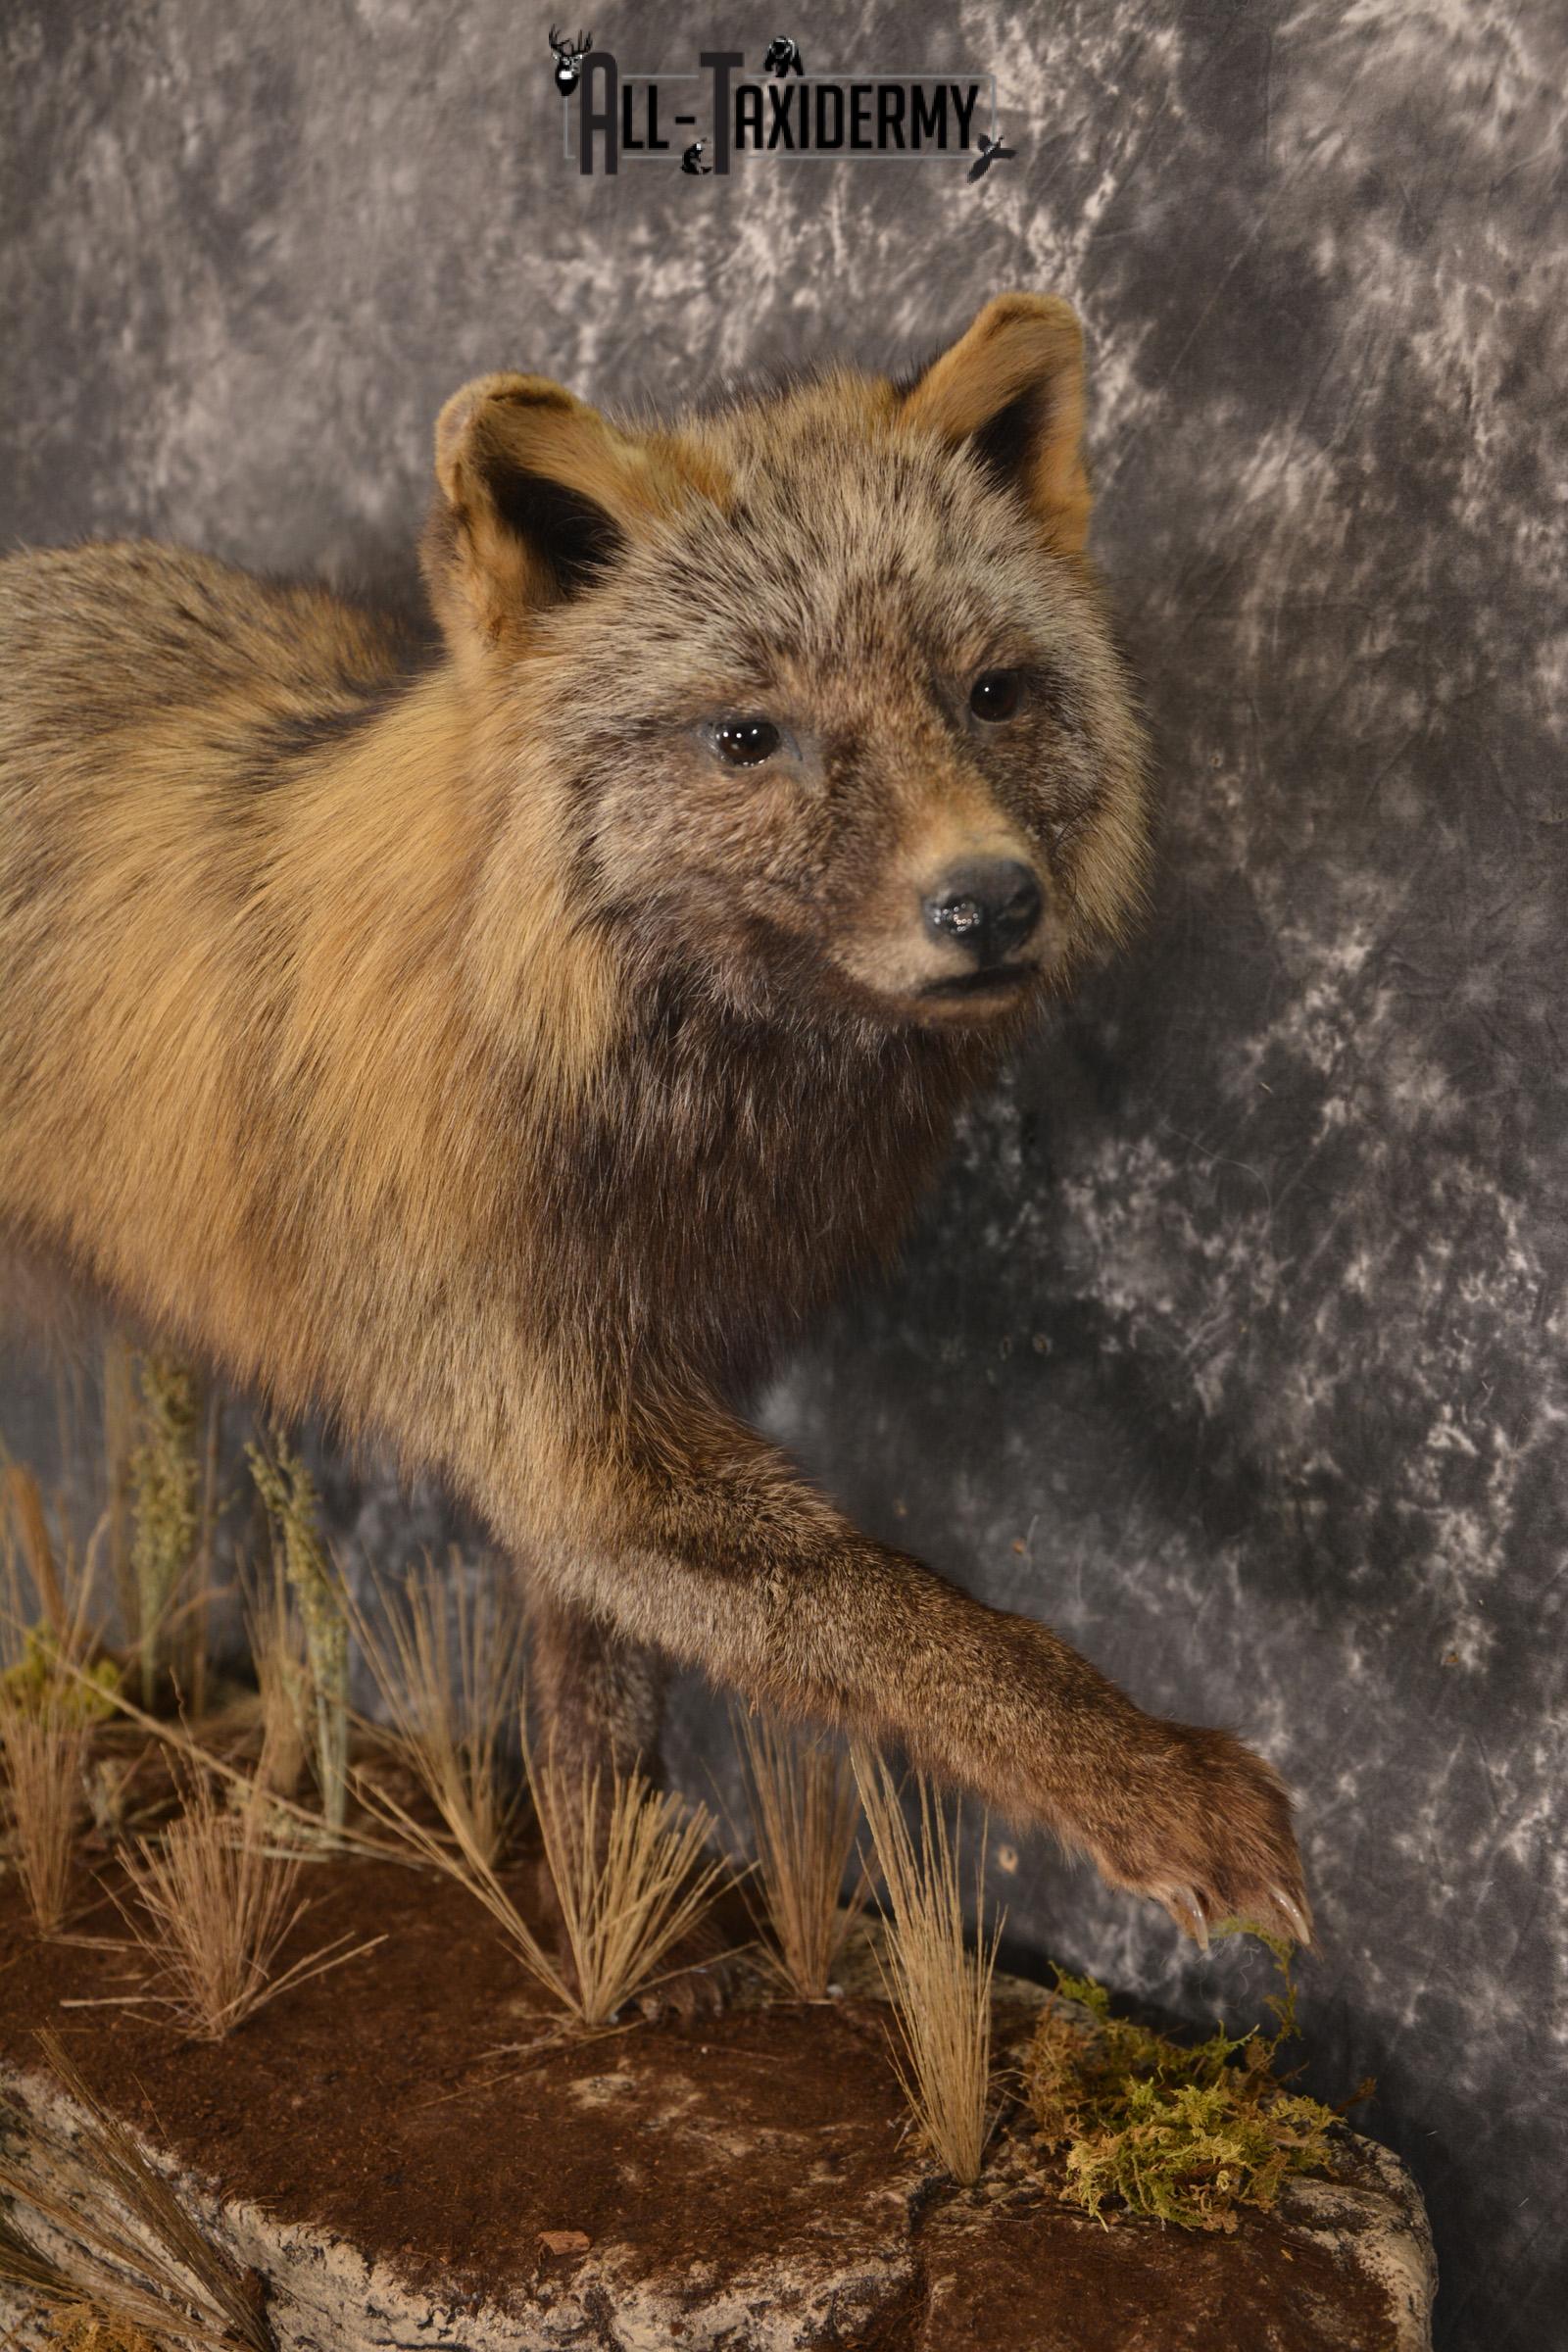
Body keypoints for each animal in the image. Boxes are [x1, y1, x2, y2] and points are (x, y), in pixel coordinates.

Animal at [0, 292, 1309, 1953]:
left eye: (991, 694)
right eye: (749, 737)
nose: (989, 902)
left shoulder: (637, 1392)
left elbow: (599, 1726)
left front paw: (603, 1941)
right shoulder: (564, 1432)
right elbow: (898, 1613)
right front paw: (1151, 1780)